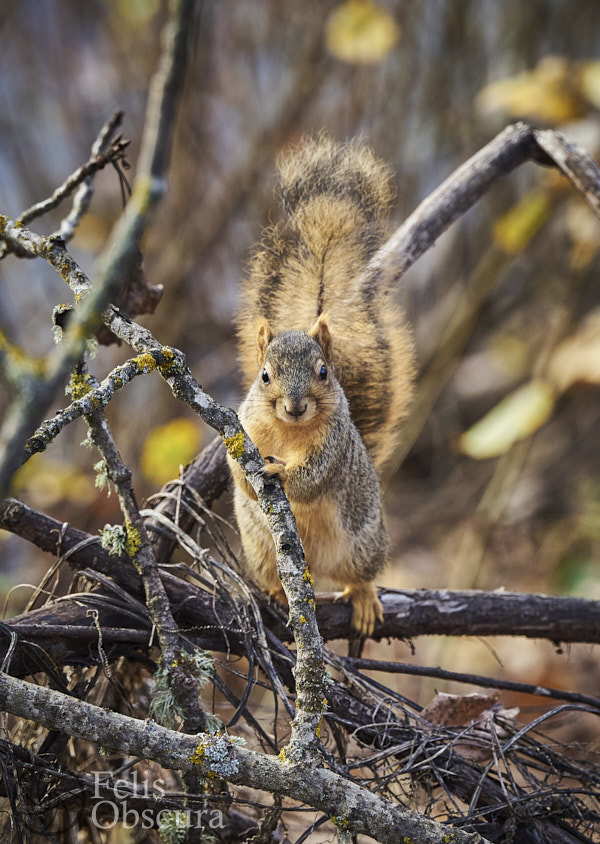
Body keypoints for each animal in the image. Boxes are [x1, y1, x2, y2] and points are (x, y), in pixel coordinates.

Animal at [227, 135, 415, 636]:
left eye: (323, 373)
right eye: (265, 376)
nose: (295, 406)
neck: (288, 432)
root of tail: (316, 568)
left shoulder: (332, 444)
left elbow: (311, 478)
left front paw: (280, 473)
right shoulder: (244, 427)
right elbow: (237, 470)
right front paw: (249, 478)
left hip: (363, 541)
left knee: (358, 576)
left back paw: (364, 600)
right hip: (262, 553)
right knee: (276, 577)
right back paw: (277, 596)